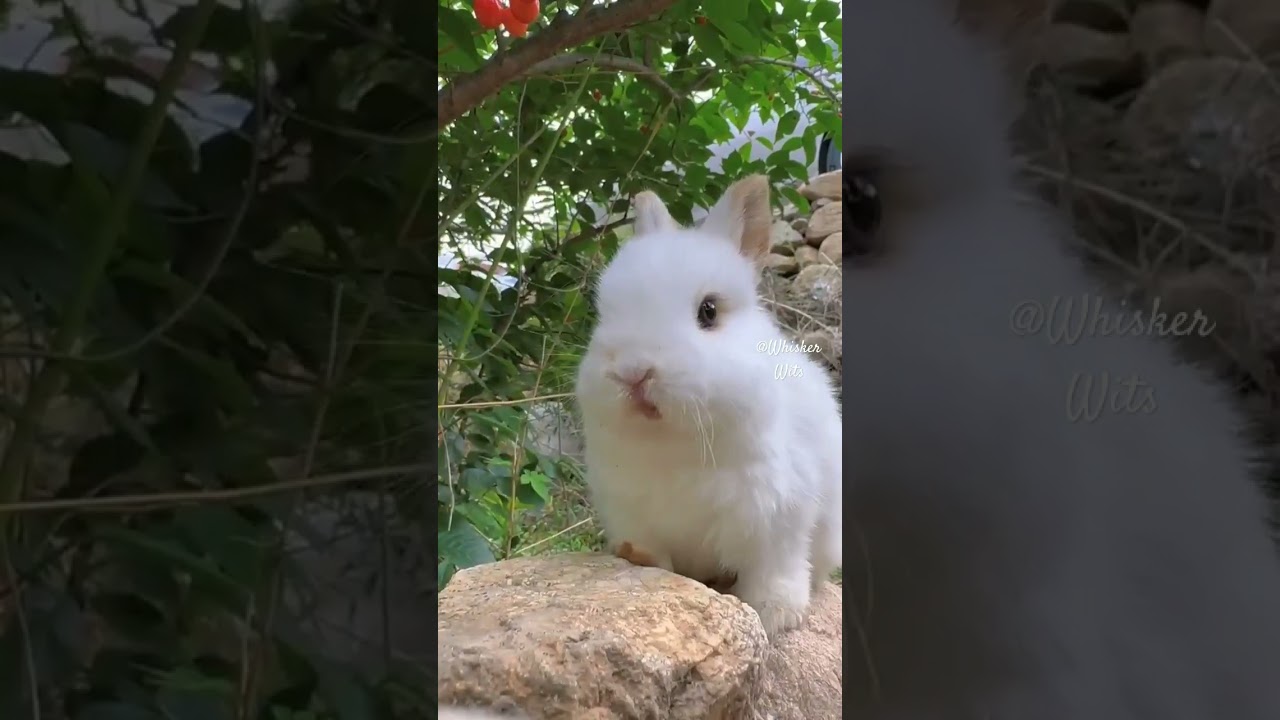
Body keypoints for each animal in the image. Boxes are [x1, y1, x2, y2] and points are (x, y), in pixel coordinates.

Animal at [573, 175, 843, 639]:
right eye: (604, 314)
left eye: (709, 311)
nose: (633, 372)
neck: (676, 447)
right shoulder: (632, 514)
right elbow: (655, 557)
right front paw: (639, 562)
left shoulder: (780, 518)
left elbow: (775, 570)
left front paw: (775, 616)